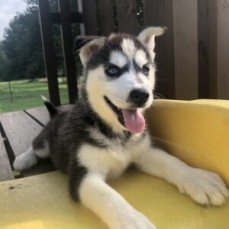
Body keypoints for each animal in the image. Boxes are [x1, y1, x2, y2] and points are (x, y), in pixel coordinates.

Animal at [13, 27, 229, 229]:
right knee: (36, 145)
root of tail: (58, 113)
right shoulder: (83, 174)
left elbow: (172, 161)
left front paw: (199, 179)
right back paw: (24, 159)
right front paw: (134, 222)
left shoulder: (145, 151)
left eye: (145, 69)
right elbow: (108, 197)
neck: (119, 135)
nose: (141, 95)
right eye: (112, 70)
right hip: (45, 144)